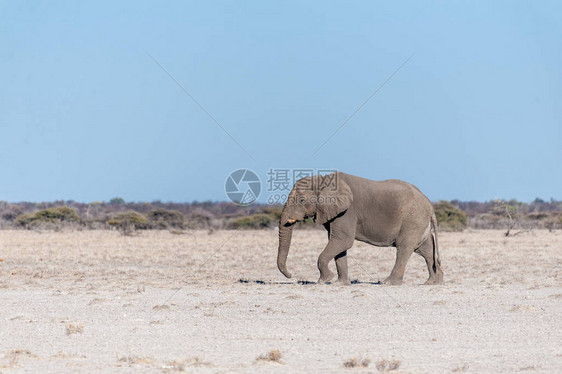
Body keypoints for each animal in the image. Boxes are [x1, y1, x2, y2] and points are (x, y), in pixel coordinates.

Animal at [276, 172, 442, 286]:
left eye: (301, 200)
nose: (291, 275)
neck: (323, 180)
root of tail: (429, 204)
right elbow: (339, 244)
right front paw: (341, 283)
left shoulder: (347, 212)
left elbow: (343, 241)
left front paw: (324, 280)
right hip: (418, 222)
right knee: (426, 250)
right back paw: (433, 282)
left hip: (413, 219)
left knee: (404, 248)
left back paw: (388, 282)